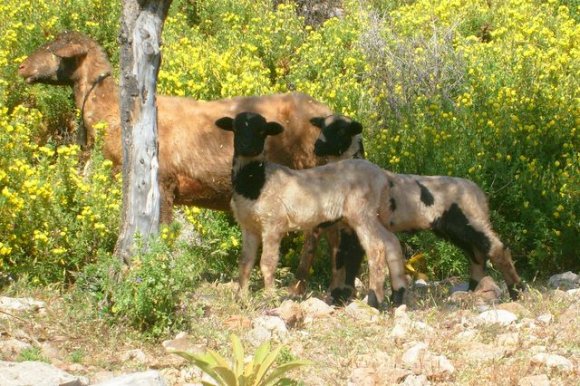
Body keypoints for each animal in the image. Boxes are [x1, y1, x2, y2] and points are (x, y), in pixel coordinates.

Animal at [215, 111, 410, 308]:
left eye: (262, 131)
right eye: (236, 128)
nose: (247, 147)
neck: (256, 180)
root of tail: (382, 176)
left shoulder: (273, 224)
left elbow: (267, 263)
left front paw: (269, 298)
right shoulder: (248, 226)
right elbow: (245, 263)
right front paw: (241, 299)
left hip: (361, 214)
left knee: (376, 248)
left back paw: (374, 300)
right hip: (373, 215)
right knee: (391, 242)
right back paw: (397, 296)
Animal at [310, 114, 528, 302]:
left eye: (340, 130)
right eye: (321, 127)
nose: (317, 147)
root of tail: (480, 193)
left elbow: (351, 261)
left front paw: (342, 297)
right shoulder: (345, 229)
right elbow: (340, 261)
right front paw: (337, 298)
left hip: (471, 221)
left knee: (497, 249)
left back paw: (517, 291)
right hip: (453, 229)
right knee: (477, 254)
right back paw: (473, 290)